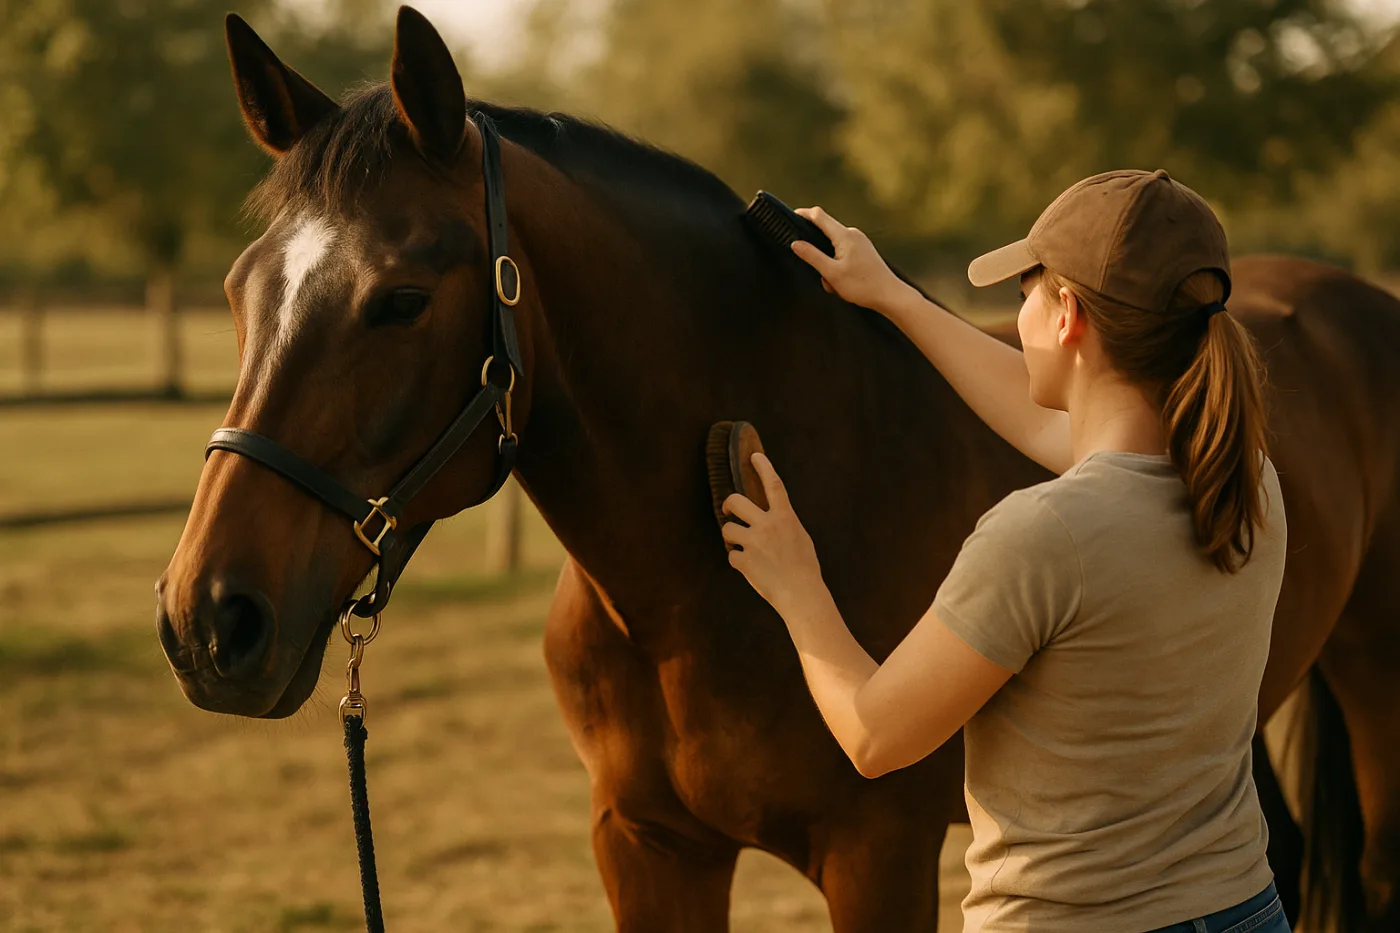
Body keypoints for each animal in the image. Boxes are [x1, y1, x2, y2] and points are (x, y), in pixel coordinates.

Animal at [156, 8, 1400, 930]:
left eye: (402, 299)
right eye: (237, 289)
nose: (209, 623)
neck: (689, 599)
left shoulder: (877, 854)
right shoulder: (646, 847)